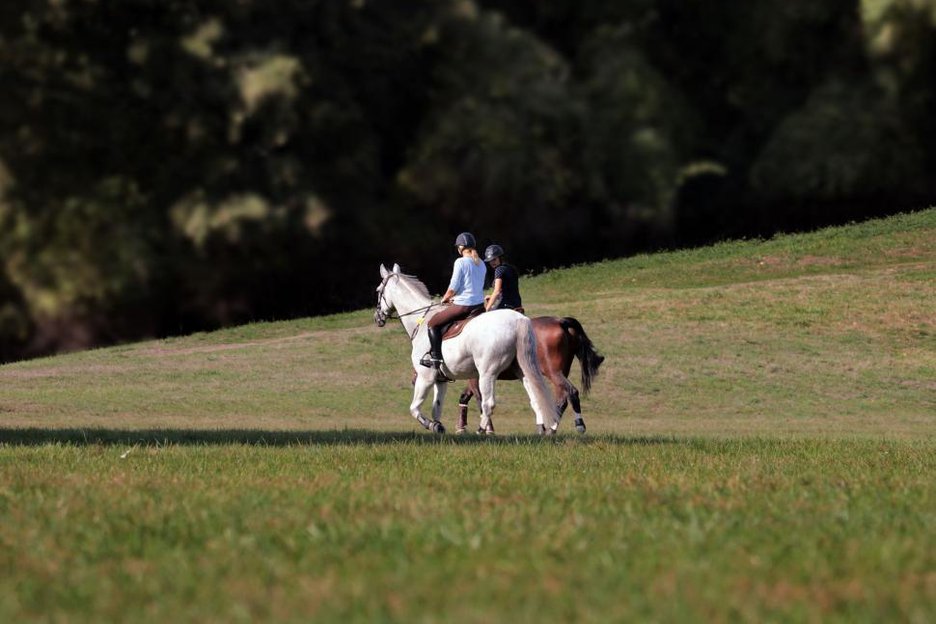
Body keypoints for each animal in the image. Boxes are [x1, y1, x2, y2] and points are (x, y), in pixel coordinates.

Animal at [374, 263, 559, 434]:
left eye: (378, 290)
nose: (377, 318)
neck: (421, 320)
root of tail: (517, 320)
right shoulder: (440, 380)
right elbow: (437, 408)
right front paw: (438, 426)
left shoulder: (425, 377)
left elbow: (414, 408)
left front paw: (430, 425)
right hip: (522, 371)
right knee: (535, 397)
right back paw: (542, 429)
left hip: (487, 373)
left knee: (488, 403)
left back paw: (481, 431)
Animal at [456, 316, 604, 435]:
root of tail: (560, 321)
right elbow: (465, 397)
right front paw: (462, 427)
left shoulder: (477, 378)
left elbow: (480, 401)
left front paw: (486, 429)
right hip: (560, 373)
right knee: (562, 399)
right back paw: (551, 428)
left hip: (553, 372)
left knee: (572, 392)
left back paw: (575, 425)